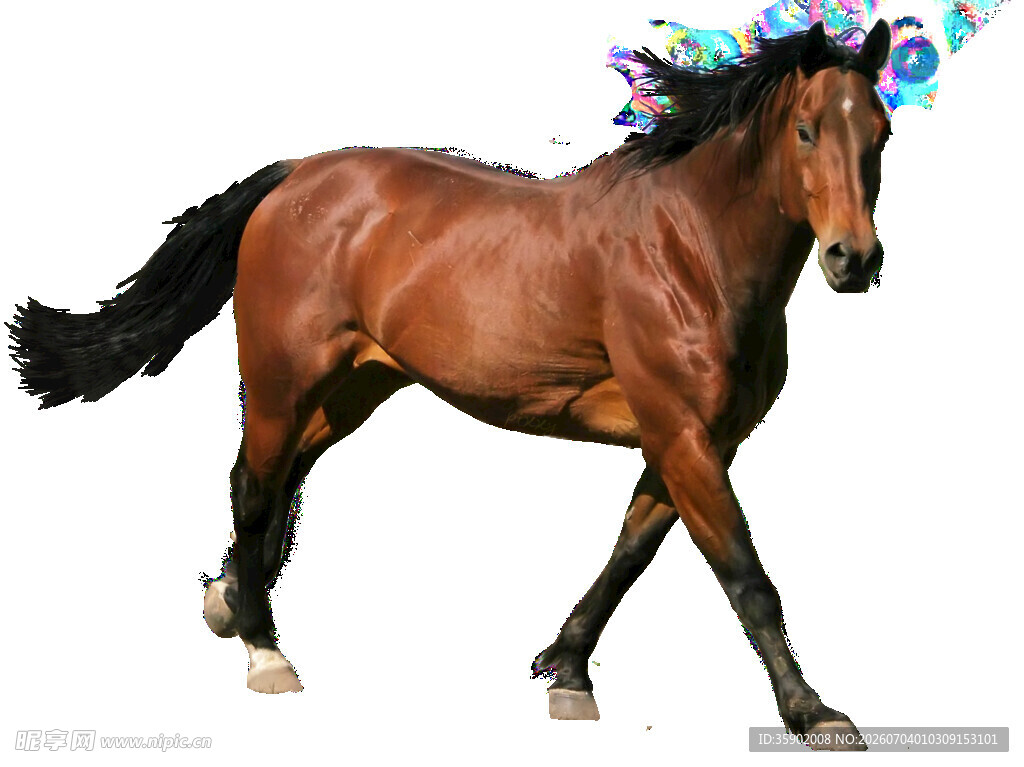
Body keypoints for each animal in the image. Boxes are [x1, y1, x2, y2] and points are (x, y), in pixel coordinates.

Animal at [8, 20, 892, 749]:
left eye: (881, 133)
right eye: (807, 129)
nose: (854, 258)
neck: (688, 248)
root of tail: (295, 176)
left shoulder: (694, 441)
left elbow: (630, 553)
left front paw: (567, 672)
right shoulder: (681, 433)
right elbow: (745, 576)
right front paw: (814, 712)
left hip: (353, 390)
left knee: (271, 479)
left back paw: (227, 598)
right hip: (282, 378)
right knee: (256, 485)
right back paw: (264, 650)